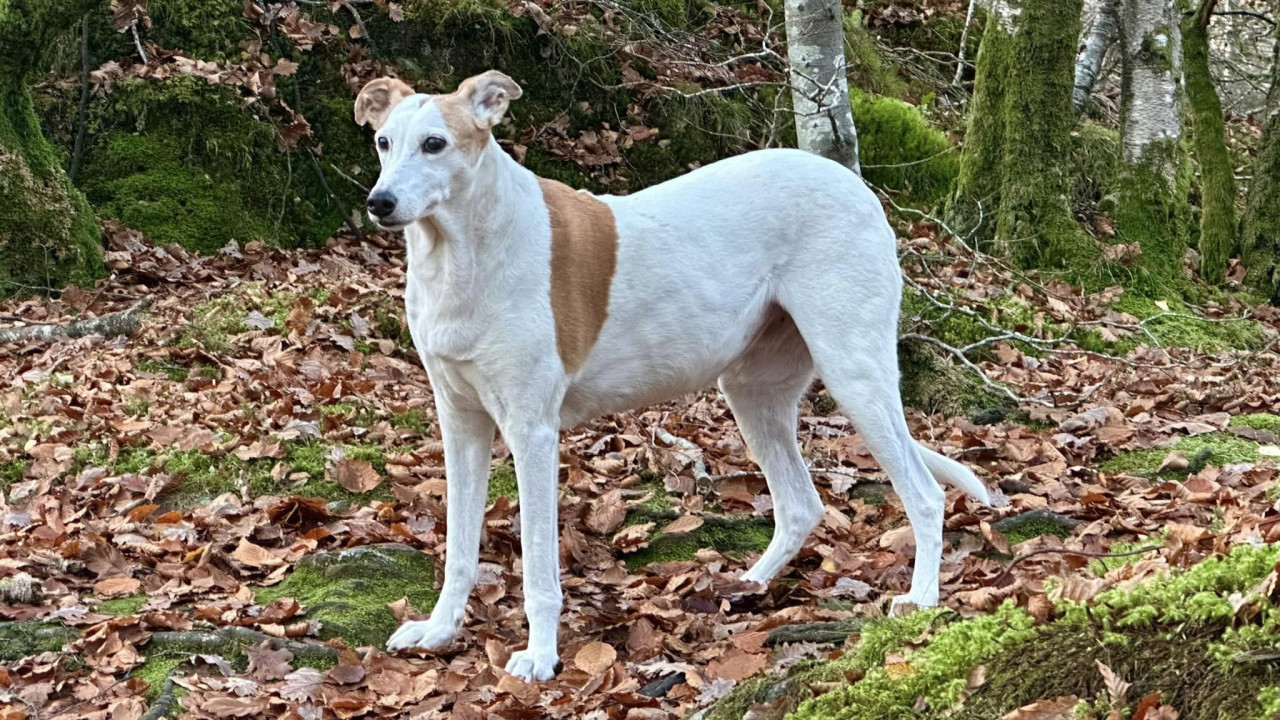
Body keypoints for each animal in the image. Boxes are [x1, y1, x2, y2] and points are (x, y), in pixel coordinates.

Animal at [355, 71, 993, 676]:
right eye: (383, 141)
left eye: (435, 144)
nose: (379, 202)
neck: (463, 251)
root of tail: (856, 187)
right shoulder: (461, 423)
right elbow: (459, 550)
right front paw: (439, 631)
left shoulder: (532, 432)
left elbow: (538, 567)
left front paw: (539, 657)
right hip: (753, 392)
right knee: (801, 505)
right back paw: (747, 586)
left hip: (855, 374)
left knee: (925, 495)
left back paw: (921, 601)